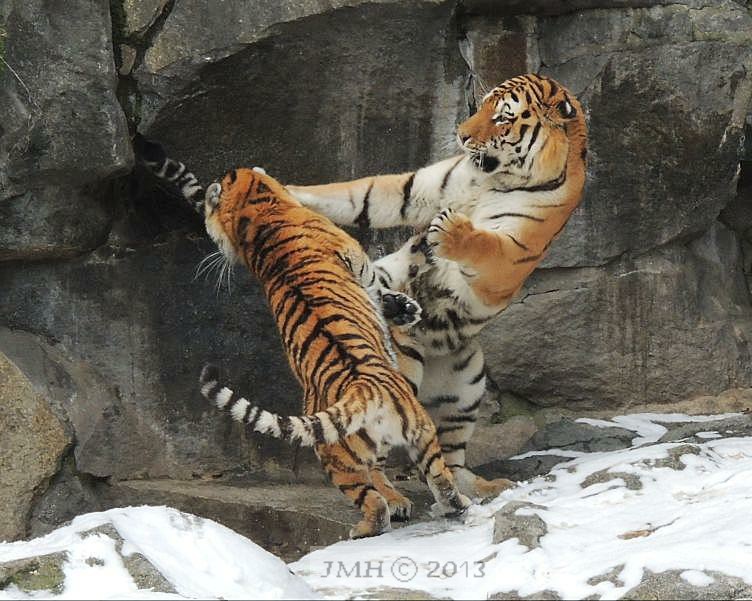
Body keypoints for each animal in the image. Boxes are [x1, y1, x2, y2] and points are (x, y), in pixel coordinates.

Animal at [284, 72, 588, 500]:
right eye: (481, 106)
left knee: (446, 454)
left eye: (502, 118)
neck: (494, 180)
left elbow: (484, 244)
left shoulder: (511, 257)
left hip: (467, 382)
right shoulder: (421, 187)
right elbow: (358, 192)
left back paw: (473, 488)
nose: (461, 135)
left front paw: (451, 228)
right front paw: (279, 187)